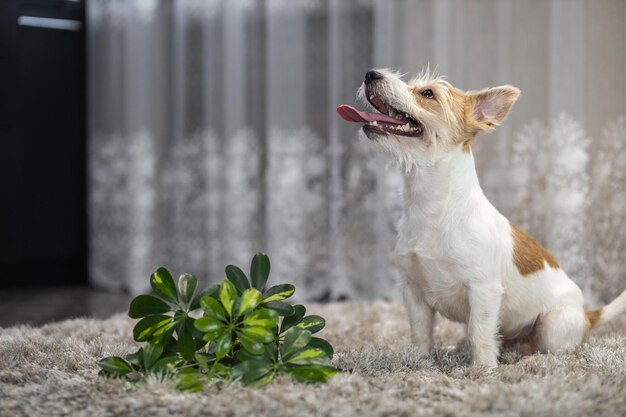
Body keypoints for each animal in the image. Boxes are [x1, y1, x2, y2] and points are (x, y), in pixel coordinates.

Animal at [336, 67, 624, 368]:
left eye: (428, 93)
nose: (371, 74)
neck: (433, 207)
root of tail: (587, 314)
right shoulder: (413, 292)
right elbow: (421, 332)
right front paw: (419, 360)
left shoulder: (484, 291)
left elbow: (480, 331)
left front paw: (483, 369)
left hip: (553, 325)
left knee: (552, 349)